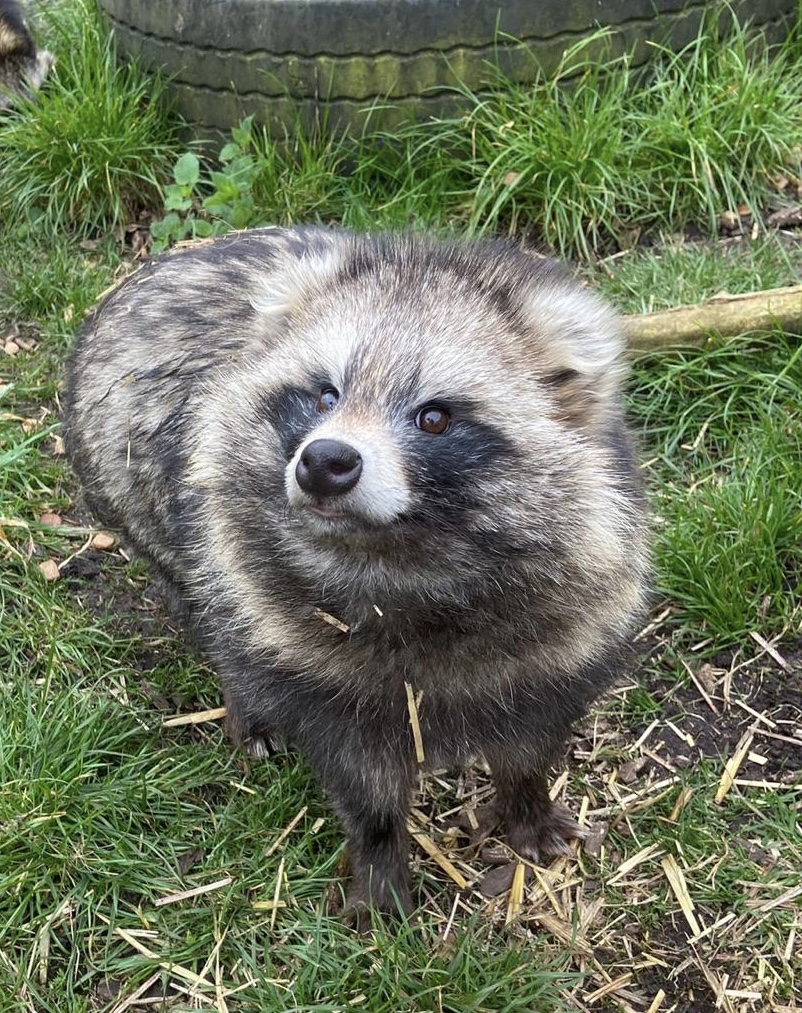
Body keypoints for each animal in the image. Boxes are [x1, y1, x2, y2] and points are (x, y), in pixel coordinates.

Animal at [64, 229, 652, 927]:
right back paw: (246, 703)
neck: (400, 560)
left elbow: (531, 734)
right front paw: (379, 861)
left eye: (434, 417)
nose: (324, 460)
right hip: (141, 501)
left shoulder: (571, 621)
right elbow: (361, 779)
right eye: (325, 396)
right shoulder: (306, 651)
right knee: (212, 610)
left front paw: (526, 804)